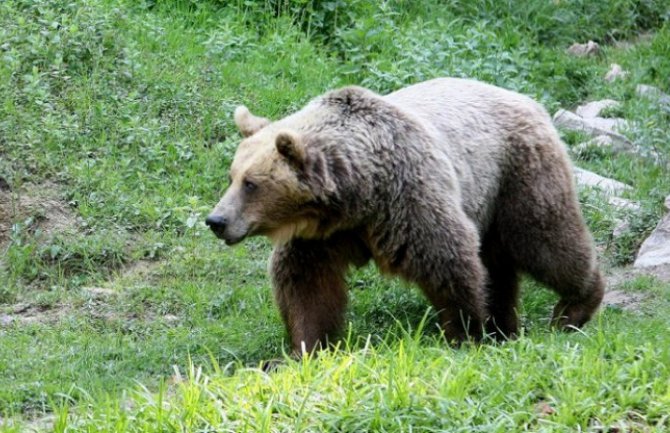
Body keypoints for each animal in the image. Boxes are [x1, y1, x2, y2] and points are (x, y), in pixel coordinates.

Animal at [205, 77, 604, 354]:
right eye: (232, 176)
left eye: (252, 183)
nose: (216, 221)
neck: (357, 194)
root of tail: (528, 99)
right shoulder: (320, 236)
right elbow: (306, 285)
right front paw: (307, 346)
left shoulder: (408, 198)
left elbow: (449, 260)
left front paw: (466, 334)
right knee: (499, 264)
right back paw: (505, 326)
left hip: (516, 175)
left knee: (546, 240)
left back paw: (574, 307)